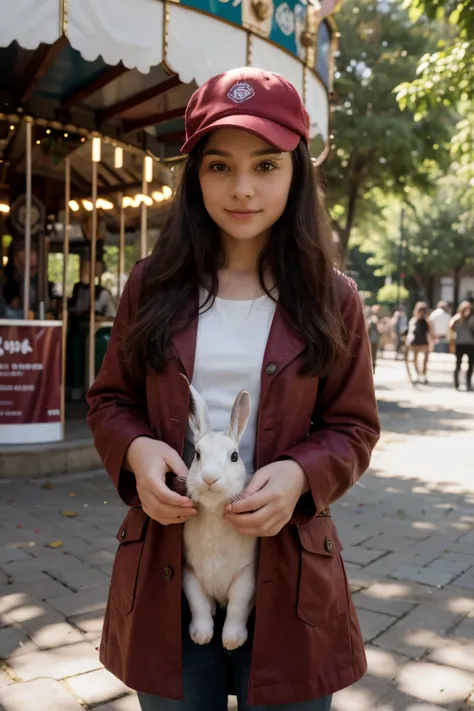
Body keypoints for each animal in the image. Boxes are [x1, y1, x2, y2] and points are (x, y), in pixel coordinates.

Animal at [181, 378, 258, 652]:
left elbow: (236, 607)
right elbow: (199, 605)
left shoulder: (246, 575)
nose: (209, 478)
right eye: (197, 455)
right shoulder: (190, 574)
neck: (214, 512)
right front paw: (201, 637)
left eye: (234, 456)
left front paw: (232, 641)